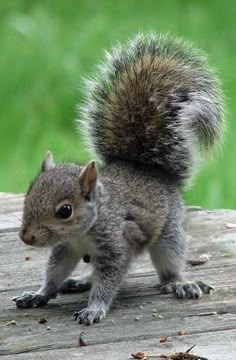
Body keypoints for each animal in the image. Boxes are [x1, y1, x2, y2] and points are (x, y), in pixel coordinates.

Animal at [12, 33, 223, 326]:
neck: (87, 228)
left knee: (170, 266)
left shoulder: (117, 246)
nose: (26, 237)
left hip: (169, 233)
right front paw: (39, 294)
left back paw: (180, 283)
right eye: (28, 196)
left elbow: (108, 281)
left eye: (65, 211)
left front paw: (94, 309)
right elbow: (55, 272)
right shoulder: (66, 248)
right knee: (91, 272)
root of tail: (149, 169)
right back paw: (80, 280)